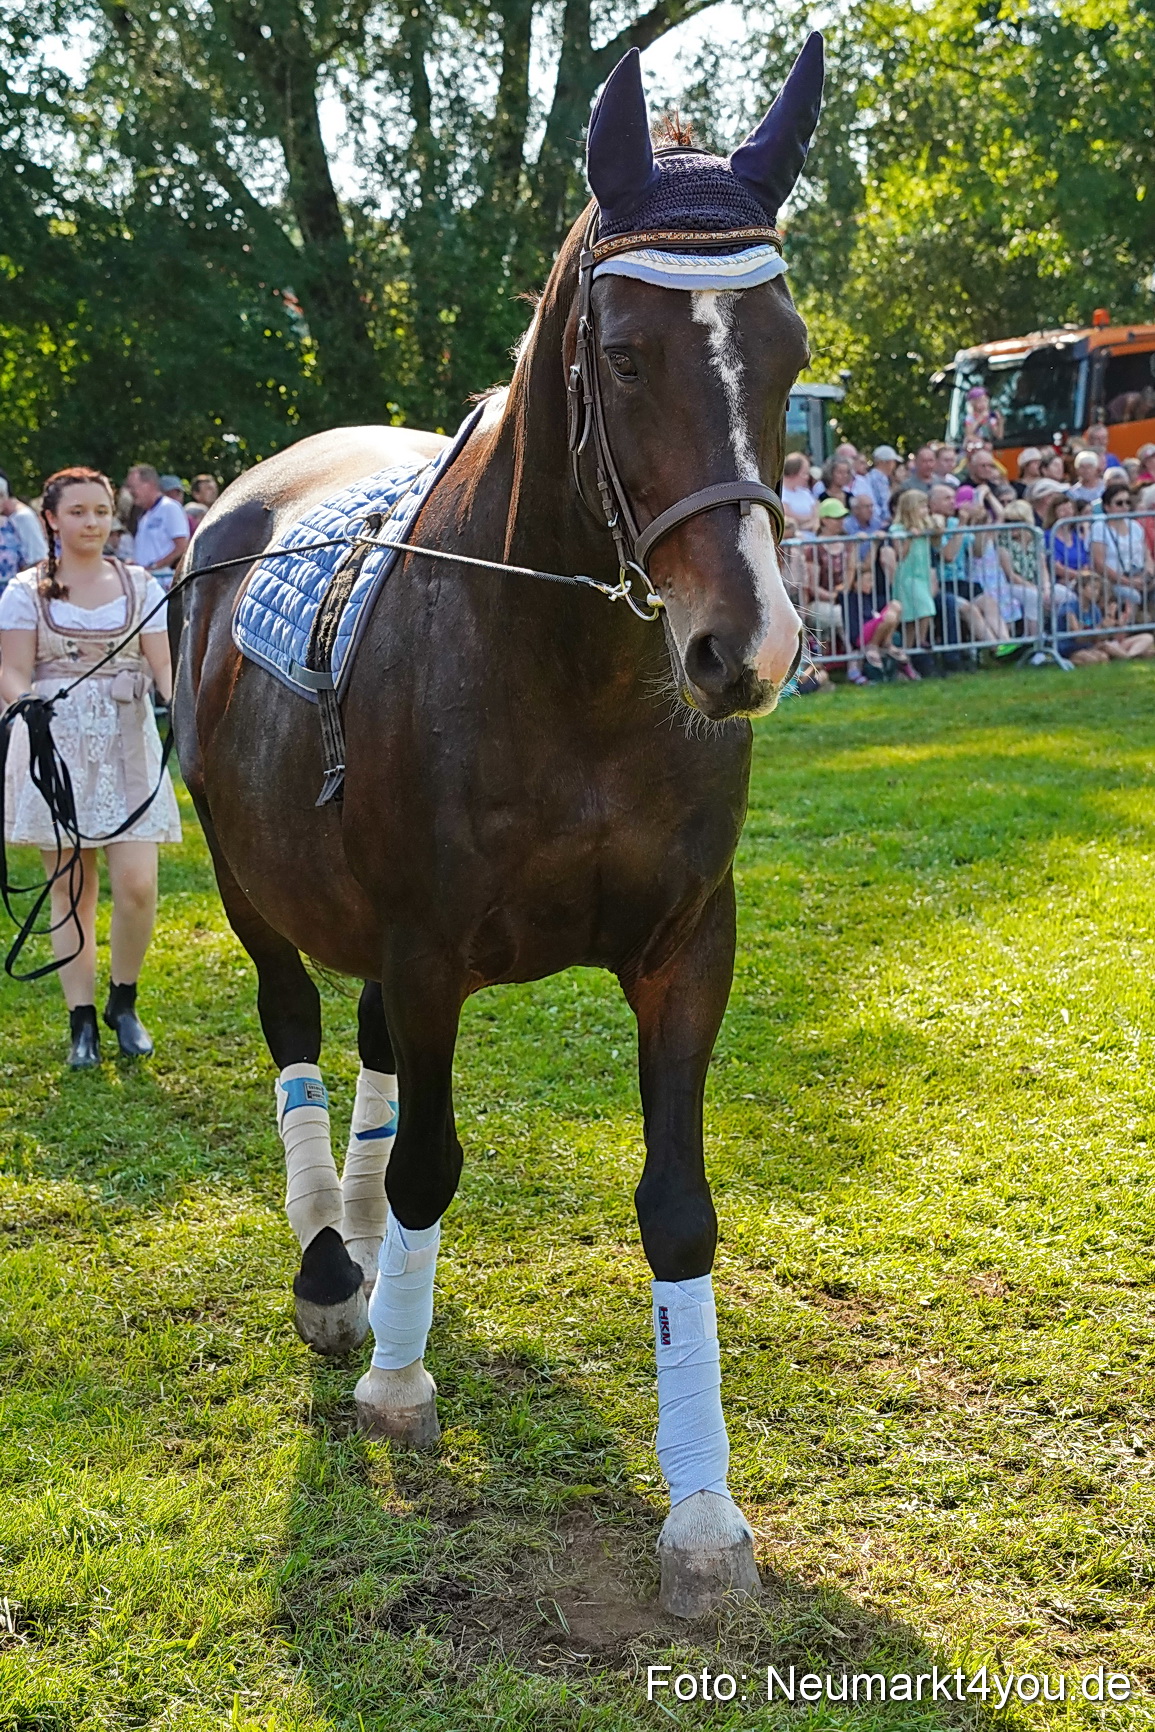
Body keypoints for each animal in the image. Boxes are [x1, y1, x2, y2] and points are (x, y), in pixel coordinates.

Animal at [172, 37, 824, 1619]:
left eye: (784, 352)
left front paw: (702, 1511)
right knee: (298, 1036)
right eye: (624, 355)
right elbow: (429, 1163)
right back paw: (332, 1269)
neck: (569, 675)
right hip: (247, 883)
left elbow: (676, 1208)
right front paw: (398, 1382)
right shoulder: (425, 946)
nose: (746, 648)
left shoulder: (686, 949)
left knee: (367, 1057)